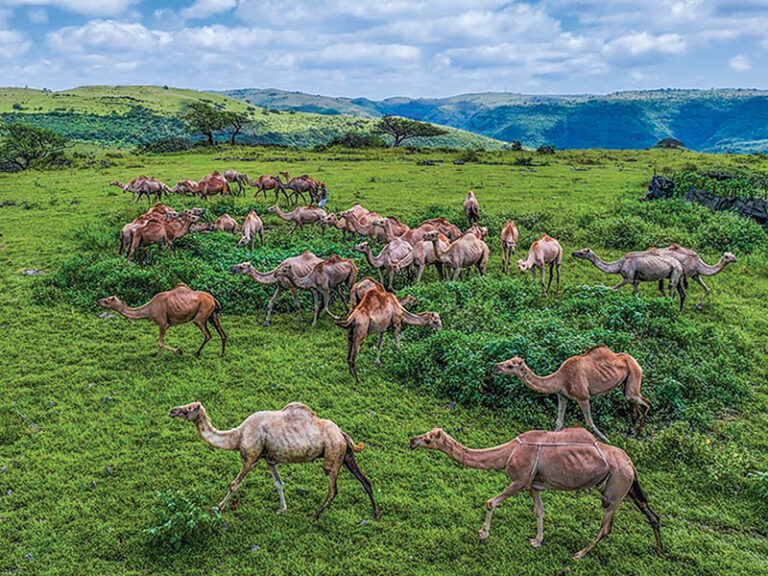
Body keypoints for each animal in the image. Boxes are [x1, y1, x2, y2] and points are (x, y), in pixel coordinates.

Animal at [97, 284, 226, 357]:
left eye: (107, 300)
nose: (97, 300)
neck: (149, 309)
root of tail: (213, 299)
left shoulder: (162, 323)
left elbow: (160, 342)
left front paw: (178, 351)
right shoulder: (163, 325)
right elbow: (160, 342)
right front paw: (158, 356)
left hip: (202, 314)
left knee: (207, 334)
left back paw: (197, 353)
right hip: (212, 315)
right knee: (222, 333)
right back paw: (221, 354)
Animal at [169, 401, 380, 519]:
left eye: (189, 409)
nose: (172, 411)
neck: (238, 436)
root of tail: (342, 433)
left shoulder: (251, 458)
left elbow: (234, 484)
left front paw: (217, 508)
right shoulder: (268, 459)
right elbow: (279, 483)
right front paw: (282, 510)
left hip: (332, 456)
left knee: (333, 489)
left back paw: (315, 515)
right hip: (346, 455)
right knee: (365, 481)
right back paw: (376, 513)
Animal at [410, 427, 663, 559]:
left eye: (429, 438)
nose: (412, 440)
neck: (509, 452)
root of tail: (631, 464)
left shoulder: (521, 479)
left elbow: (491, 502)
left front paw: (483, 533)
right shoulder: (534, 485)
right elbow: (539, 510)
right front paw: (537, 540)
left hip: (614, 490)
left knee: (606, 527)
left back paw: (579, 554)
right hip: (627, 488)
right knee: (651, 513)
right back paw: (660, 551)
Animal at [494, 346, 651, 441]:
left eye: (510, 365)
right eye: (507, 360)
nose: (496, 367)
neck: (561, 378)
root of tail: (637, 362)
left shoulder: (583, 397)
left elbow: (590, 423)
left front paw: (607, 441)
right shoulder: (562, 395)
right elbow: (559, 422)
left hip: (634, 376)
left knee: (646, 403)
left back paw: (638, 434)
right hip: (625, 384)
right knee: (635, 409)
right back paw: (631, 434)